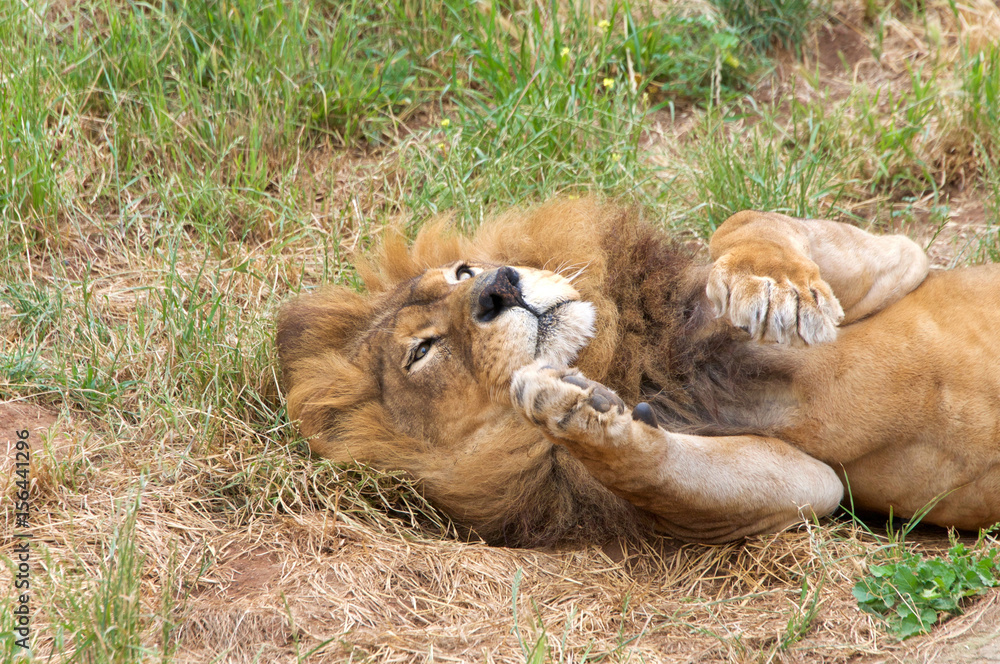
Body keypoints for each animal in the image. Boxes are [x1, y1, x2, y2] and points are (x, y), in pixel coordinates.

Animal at [276, 198, 1000, 546]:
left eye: (461, 271)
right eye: (421, 352)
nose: (499, 286)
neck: (627, 364)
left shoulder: (903, 264)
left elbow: (748, 223)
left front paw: (777, 286)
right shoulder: (810, 485)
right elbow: (666, 468)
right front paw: (581, 419)